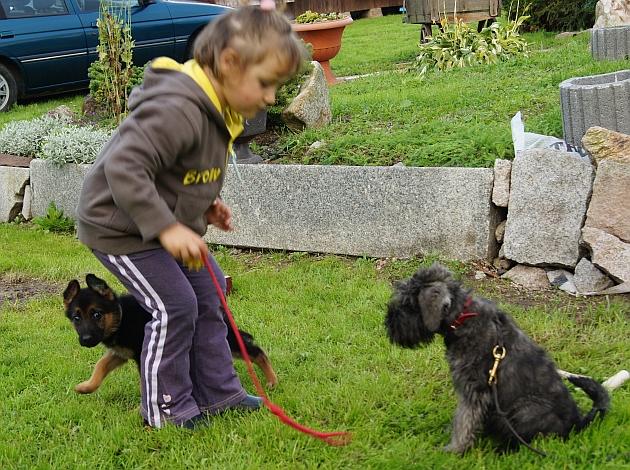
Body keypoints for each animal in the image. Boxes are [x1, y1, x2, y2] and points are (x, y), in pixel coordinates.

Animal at [63, 274, 278, 394]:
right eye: (76, 318)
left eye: (97, 315)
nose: (85, 340)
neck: (121, 318)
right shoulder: (119, 353)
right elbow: (100, 366)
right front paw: (87, 387)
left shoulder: (143, 354)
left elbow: (146, 380)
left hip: (229, 339)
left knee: (257, 352)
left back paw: (272, 380)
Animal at [384, 263, 610, 454]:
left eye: (407, 304)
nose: (388, 323)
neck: (462, 317)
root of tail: (577, 424)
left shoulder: (474, 390)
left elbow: (464, 421)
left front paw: (454, 450)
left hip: (524, 410)